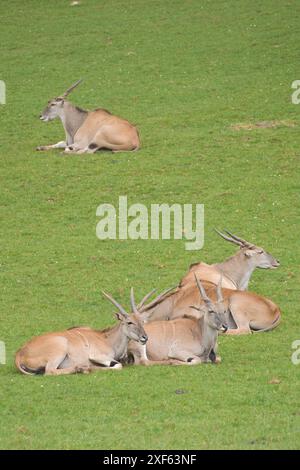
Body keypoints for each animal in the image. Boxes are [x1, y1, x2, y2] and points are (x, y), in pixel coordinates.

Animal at [15, 288, 148, 376]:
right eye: (129, 322)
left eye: (141, 320)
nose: (144, 337)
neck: (106, 338)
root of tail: (19, 353)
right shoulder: (96, 355)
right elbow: (118, 365)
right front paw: (89, 368)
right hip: (60, 348)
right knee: (50, 371)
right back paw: (81, 368)